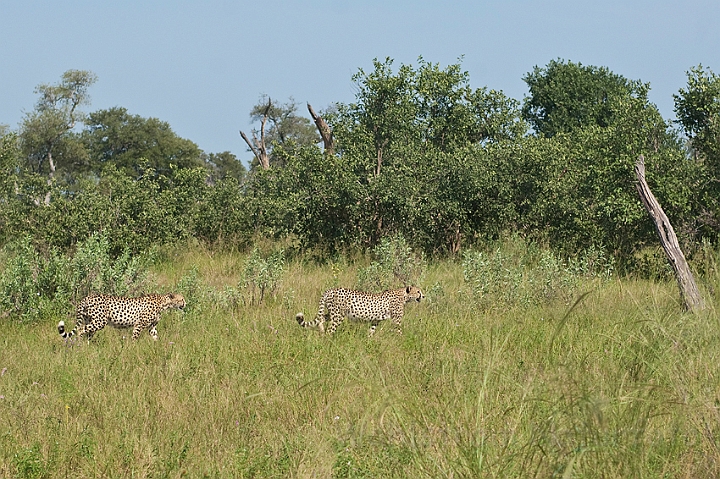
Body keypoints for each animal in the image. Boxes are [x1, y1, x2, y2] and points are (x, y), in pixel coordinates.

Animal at [58, 292, 187, 342]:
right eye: (181, 299)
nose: (185, 303)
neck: (163, 304)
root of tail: (87, 297)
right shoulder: (139, 324)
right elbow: (135, 338)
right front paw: (132, 349)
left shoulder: (152, 327)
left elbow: (155, 336)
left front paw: (159, 347)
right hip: (100, 322)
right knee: (80, 330)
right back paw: (81, 346)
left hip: (90, 320)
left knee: (87, 333)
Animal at [296, 284, 424, 338]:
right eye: (418, 291)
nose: (423, 296)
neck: (404, 296)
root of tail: (330, 289)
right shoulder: (396, 321)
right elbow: (399, 331)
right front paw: (402, 342)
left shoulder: (375, 321)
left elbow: (371, 332)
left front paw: (369, 342)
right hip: (338, 315)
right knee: (330, 329)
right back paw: (327, 340)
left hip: (333, 313)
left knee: (321, 319)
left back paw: (321, 333)